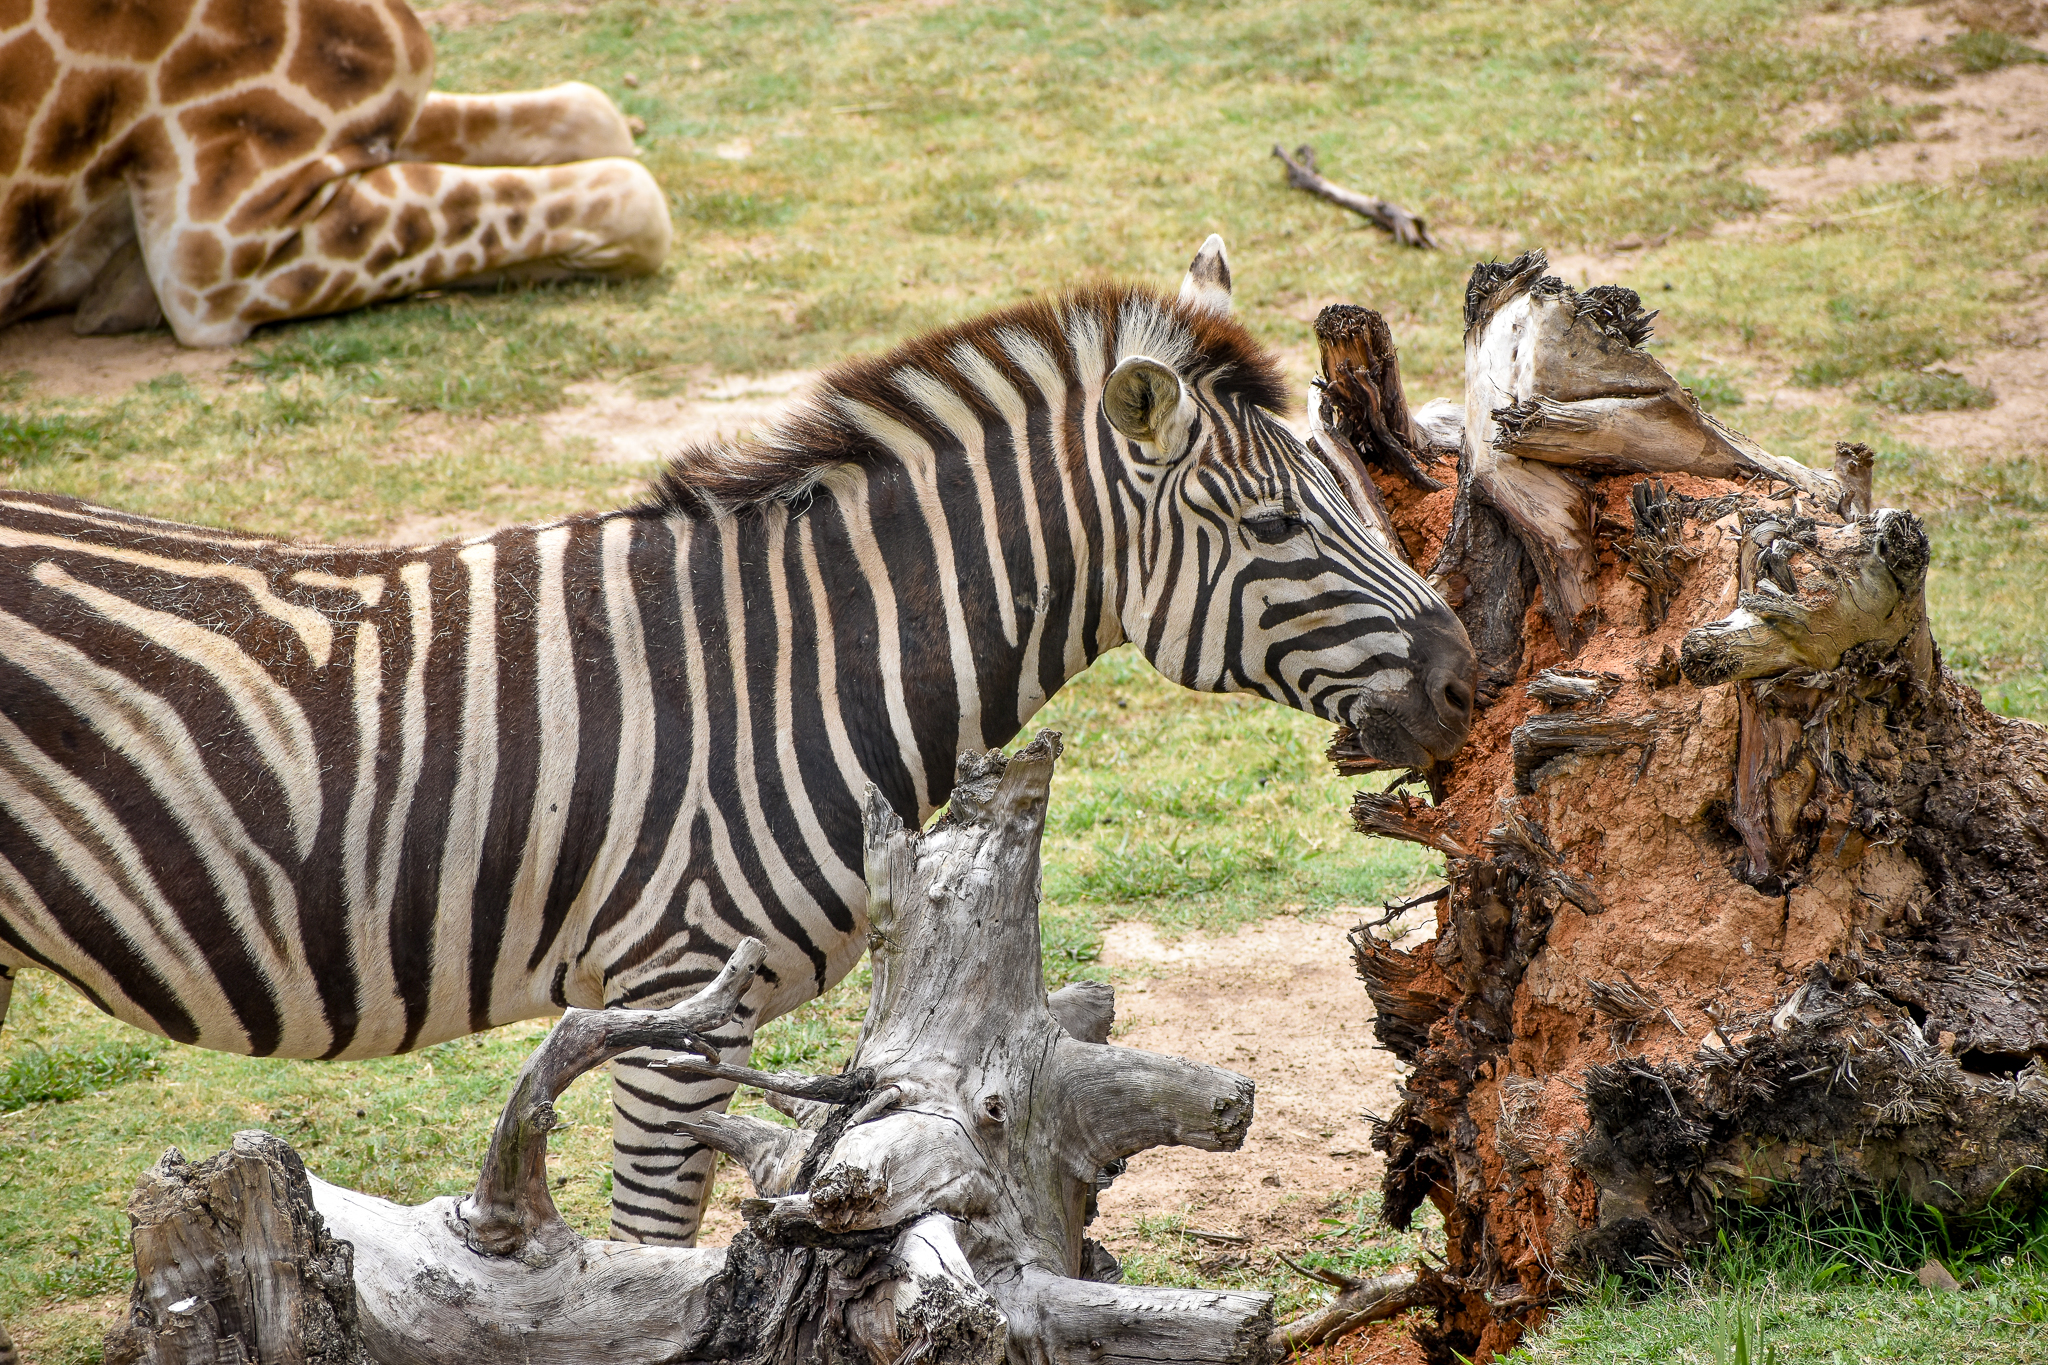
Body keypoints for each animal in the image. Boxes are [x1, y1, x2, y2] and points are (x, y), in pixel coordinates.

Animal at [0, 237, 1476, 1254]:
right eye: (1275, 527)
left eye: (1357, 493)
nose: (1467, 684)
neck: (795, 667)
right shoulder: (671, 1011)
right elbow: (652, 1256)